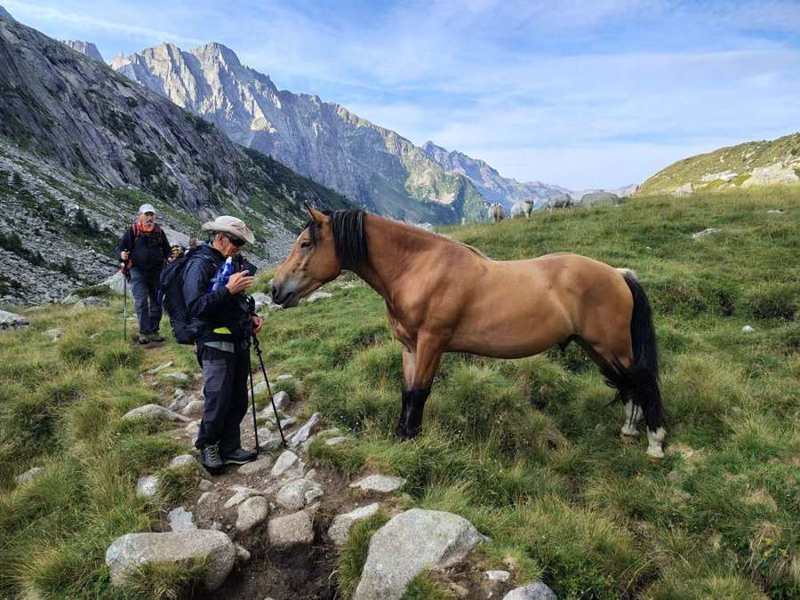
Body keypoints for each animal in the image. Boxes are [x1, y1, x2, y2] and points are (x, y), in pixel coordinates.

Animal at [271, 208, 666, 458]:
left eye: (305, 243)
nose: (276, 290)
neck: (420, 268)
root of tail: (618, 274)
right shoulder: (410, 347)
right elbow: (406, 391)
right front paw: (401, 438)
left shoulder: (432, 343)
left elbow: (419, 393)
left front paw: (412, 440)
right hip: (599, 348)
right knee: (627, 384)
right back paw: (630, 431)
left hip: (612, 345)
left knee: (643, 381)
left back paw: (656, 443)